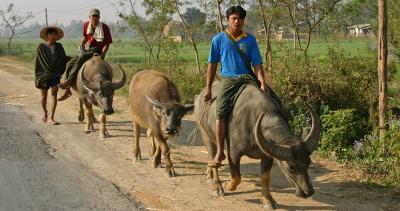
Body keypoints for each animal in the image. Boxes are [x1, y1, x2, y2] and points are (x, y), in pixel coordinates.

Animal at [192, 81, 320, 209]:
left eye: (309, 162)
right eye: (291, 167)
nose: (309, 192)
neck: (253, 123)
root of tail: (199, 97)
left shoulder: (267, 155)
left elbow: (265, 177)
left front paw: (268, 200)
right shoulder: (233, 153)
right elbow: (236, 176)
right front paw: (228, 185)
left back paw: (209, 174)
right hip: (206, 134)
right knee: (213, 156)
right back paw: (217, 187)